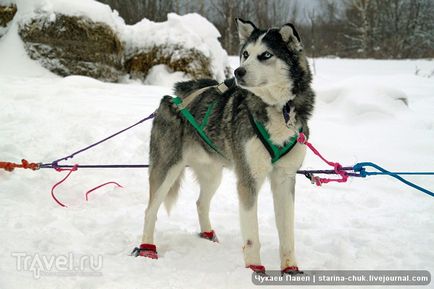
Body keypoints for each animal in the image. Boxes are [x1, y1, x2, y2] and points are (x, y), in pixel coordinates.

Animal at [134, 18, 314, 274]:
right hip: (166, 169)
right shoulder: (248, 180)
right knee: (150, 210)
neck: (279, 109)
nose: (238, 72)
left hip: (212, 175)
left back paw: (208, 234)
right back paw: (147, 247)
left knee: (200, 203)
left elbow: (287, 233)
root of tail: (171, 97)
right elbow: (252, 236)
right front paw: (254, 268)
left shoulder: (285, 178)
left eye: (266, 55)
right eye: (246, 54)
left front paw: (291, 269)